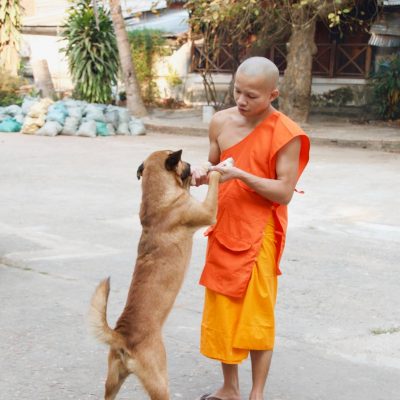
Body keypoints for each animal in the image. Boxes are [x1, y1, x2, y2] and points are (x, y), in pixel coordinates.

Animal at [88, 150, 220, 400]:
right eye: (182, 161)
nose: (191, 164)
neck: (158, 200)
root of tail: (123, 337)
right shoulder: (207, 212)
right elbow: (215, 184)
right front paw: (215, 170)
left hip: (112, 382)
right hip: (159, 383)